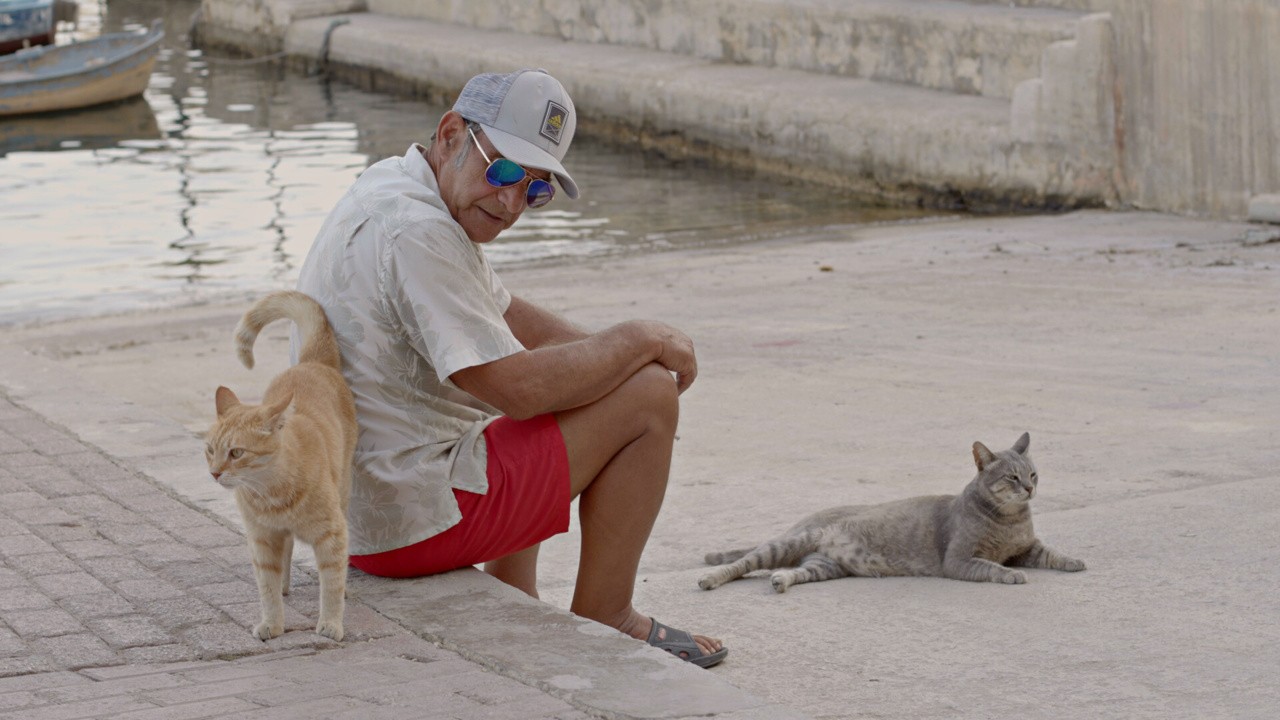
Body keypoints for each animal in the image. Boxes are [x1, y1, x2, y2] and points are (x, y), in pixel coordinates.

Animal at [206, 292, 358, 638]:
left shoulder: (331, 534)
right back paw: (286, 585)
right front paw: (272, 624)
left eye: (236, 453)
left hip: (344, 492)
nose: (215, 473)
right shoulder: (261, 540)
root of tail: (310, 362)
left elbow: (330, 584)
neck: (271, 493)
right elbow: (268, 588)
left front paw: (331, 623)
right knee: (286, 552)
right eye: (210, 450)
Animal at [696, 430, 1085, 589]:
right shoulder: (959, 560)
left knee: (792, 572)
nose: (1031, 488)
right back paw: (712, 578)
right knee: (743, 563)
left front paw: (1073, 560)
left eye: (1033, 474)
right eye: (1012, 477)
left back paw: (781, 581)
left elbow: (1051, 552)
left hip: (823, 566)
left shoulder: (1026, 548)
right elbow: (991, 566)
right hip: (787, 544)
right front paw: (1010, 575)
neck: (1010, 519)